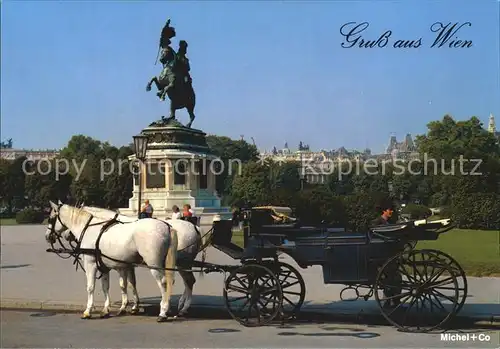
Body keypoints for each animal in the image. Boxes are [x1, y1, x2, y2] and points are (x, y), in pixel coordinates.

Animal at [44, 201, 178, 320]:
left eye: (50, 218)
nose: (47, 236)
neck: (90, 229)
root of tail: (167, 226)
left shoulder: (91, 264)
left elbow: (90, 287)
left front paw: (88, 311)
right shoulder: (106, 266)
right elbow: (108, 286)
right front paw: (106, 309)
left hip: (154, 264)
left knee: (163, 283)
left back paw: (163, 311)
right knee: (169, 281)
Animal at [80, 204, 213, 316]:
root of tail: (195, 226)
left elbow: (125, 284)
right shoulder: (125, 264)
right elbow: (130, 283)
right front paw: (132, 306)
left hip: (180, 263)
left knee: (186, 281)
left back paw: (177, 308)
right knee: (186, 281)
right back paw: (179, 305)